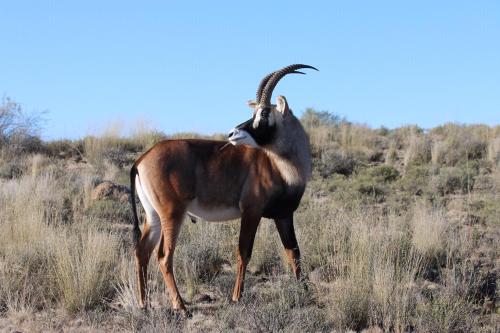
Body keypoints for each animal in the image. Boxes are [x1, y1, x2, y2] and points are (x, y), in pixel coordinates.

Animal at [129, 63, 316, 314]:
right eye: (256, 112)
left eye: (265, 113)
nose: (232, 134)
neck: (281, 162)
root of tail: (142, 159)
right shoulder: (252, 211)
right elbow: (244, 251)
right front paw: (237, 297)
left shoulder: (284, 215)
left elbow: (294, 251)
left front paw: (305, 293)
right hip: (172, 214)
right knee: (163, 256)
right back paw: (181, 307)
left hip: (154, 216)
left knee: (142, 251)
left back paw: (144, 304)